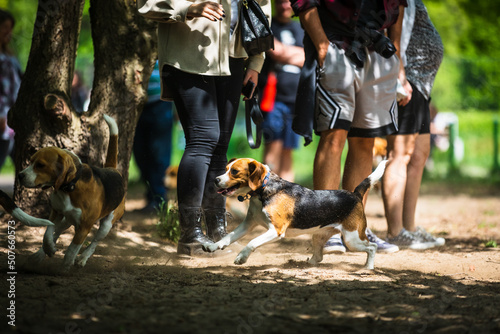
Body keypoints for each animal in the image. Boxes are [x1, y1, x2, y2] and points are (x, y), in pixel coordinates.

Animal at [19, 115, 125, 272]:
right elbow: (47, 233)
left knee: (94, 243)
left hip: (106, 225)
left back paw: (82, 258)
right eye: (31, 161)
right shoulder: (56, 212)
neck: (69, 188)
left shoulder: (84, 227)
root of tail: (112, 169)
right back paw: (40, 254)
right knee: (56, 232)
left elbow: (71, 250)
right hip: (67, 220)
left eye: (40, 165)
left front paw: (65, 266)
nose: (20, 176)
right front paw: (48, 249)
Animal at [201, 158, 388, 270]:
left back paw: (368, 267)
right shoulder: (248, 225)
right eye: (226, 169)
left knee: (372, 247)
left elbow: (252, 242)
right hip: (319, 236)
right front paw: (213, 246)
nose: (215, 180)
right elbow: (227, 237)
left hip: (352, 238)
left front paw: (241, 258)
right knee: (319, 257)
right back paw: (307, 263)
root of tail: (355, 194)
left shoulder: (275, 231)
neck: (263, 190)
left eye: (234, 171)